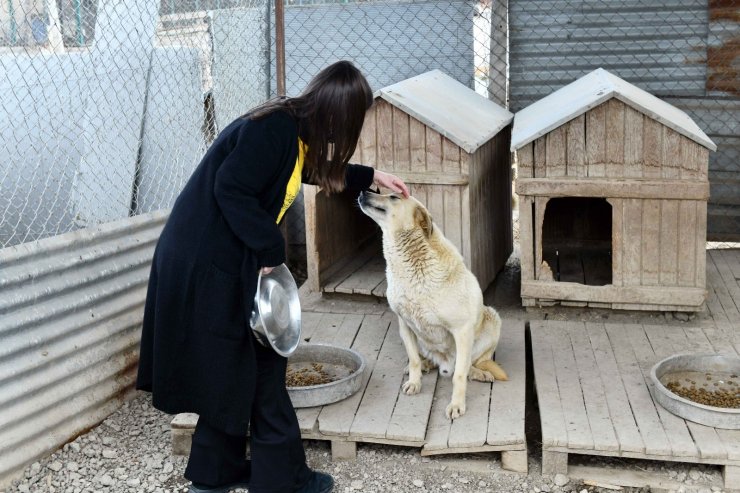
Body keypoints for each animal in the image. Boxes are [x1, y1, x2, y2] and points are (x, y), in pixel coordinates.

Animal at [356, 190, 506, 418]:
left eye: (394, 197)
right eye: (383, 192)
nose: (364, 191)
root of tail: (445, 364)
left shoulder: (462, 330)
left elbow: (459, 374)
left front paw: (457, 404)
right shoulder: (404, 324)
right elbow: (413, 359)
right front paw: (415, 381)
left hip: (492, 319)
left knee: (470, 363)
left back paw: (479, 373)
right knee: (430, 359)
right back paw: (426, 365)